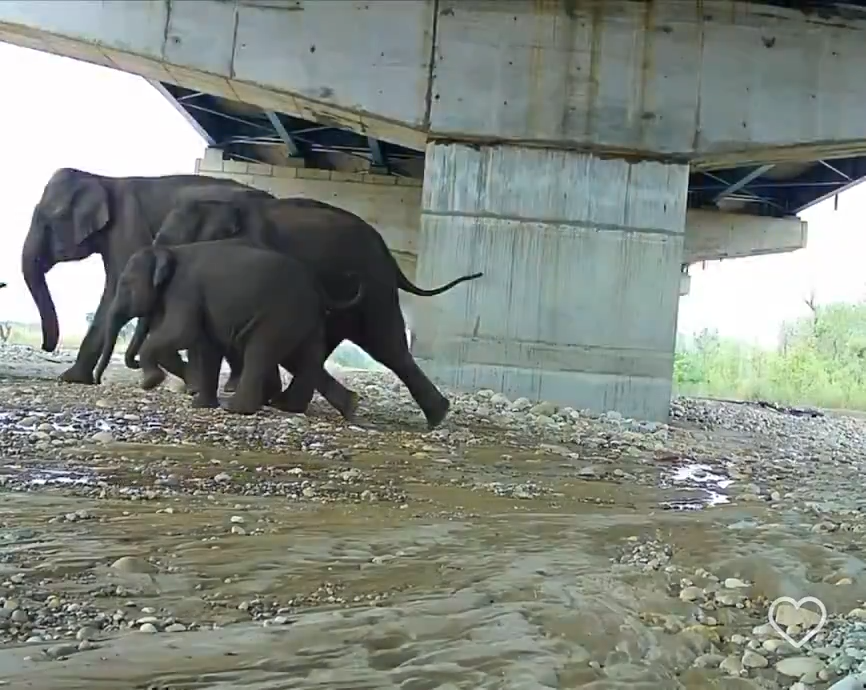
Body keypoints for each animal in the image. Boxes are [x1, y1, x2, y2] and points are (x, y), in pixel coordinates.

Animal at [21, 167, 272, 386]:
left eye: (49, 219)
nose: (45, 346)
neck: (101, 179)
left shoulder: (127, 227)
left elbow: (112, 291)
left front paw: (70, 378)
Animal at [93, 240, 364, 417]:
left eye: (125, 284)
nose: (96, 381)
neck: (170, 250)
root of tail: (317, 285)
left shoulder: (184, 290)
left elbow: (182, 333)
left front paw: (152, 381)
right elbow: (206, 346)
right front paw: (201, 405)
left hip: (281, 313)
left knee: (261, 352)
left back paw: (236, 408)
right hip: (306, 318)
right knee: (307, 358)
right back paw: (344, 406)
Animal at [125, 196, 483, 429]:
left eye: (173, 242)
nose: (150, 381)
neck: (221, 205)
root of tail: (391, 259)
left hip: (374, 289)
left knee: (384, 345)